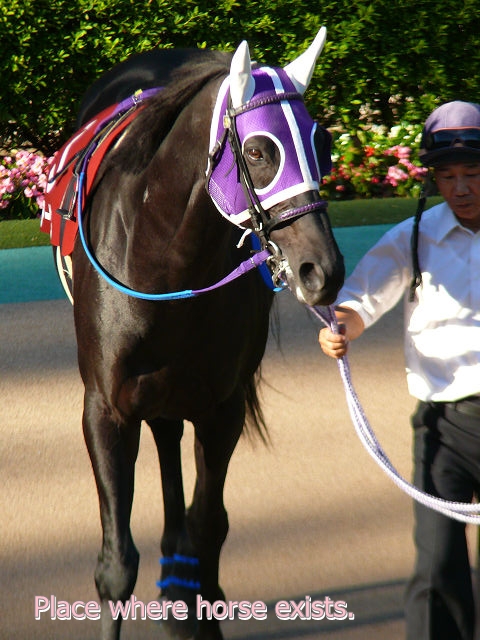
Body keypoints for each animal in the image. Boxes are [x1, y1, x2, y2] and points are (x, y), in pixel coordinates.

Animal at [66, 27, 344, 640]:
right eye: (260, 150)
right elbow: (116, 566)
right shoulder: (105, 408)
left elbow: (208, 525)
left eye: (324, 143)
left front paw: (199, 604)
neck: (167, 263)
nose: (323, 270)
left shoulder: (222, 407)